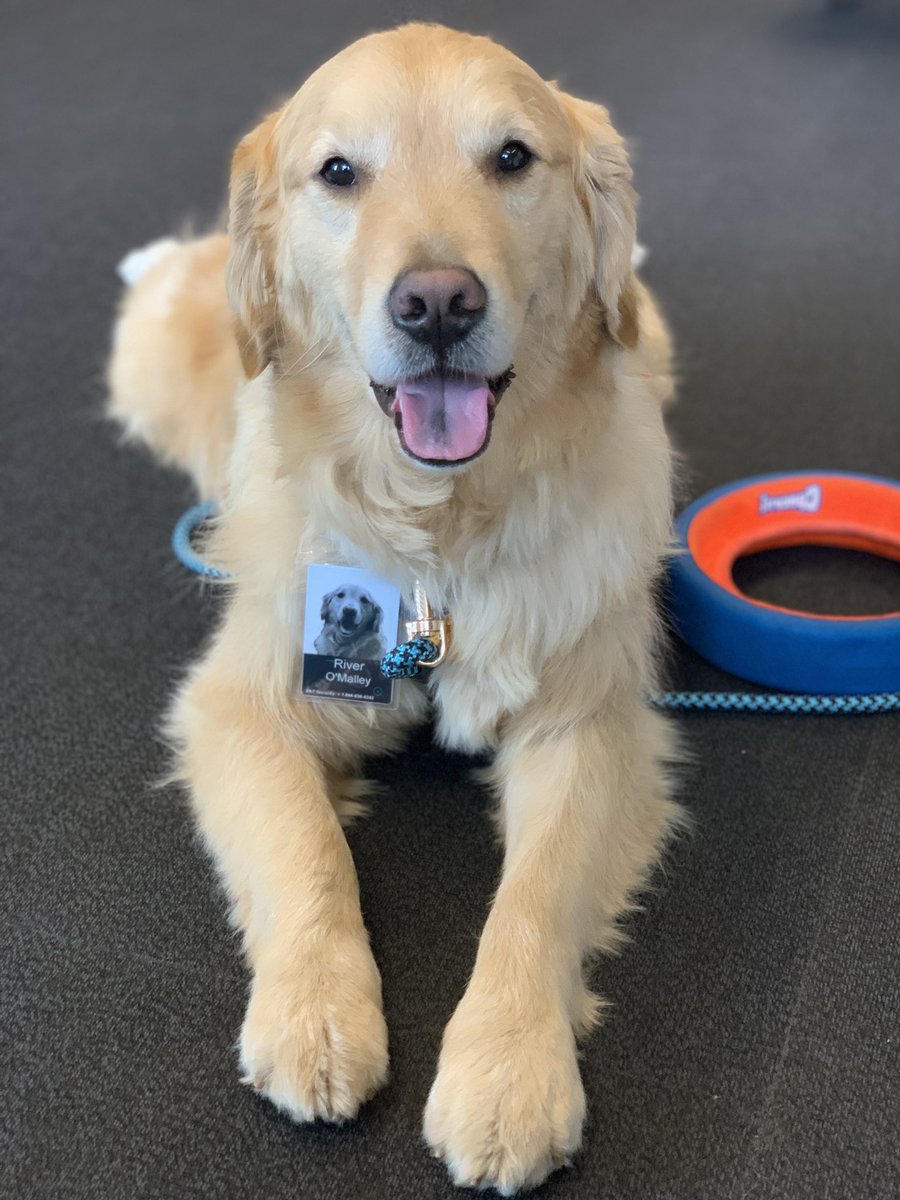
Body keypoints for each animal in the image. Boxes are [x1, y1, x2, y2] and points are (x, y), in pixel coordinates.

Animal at [105, 23, 681, 1195]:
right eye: (339, 172)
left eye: (511, 158)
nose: (439, 304)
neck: (438, 544)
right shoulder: (240, 704)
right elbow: (306, 849)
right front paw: (315, 1015)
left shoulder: (589, 726)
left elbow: (534, 899)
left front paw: (508, 1074)